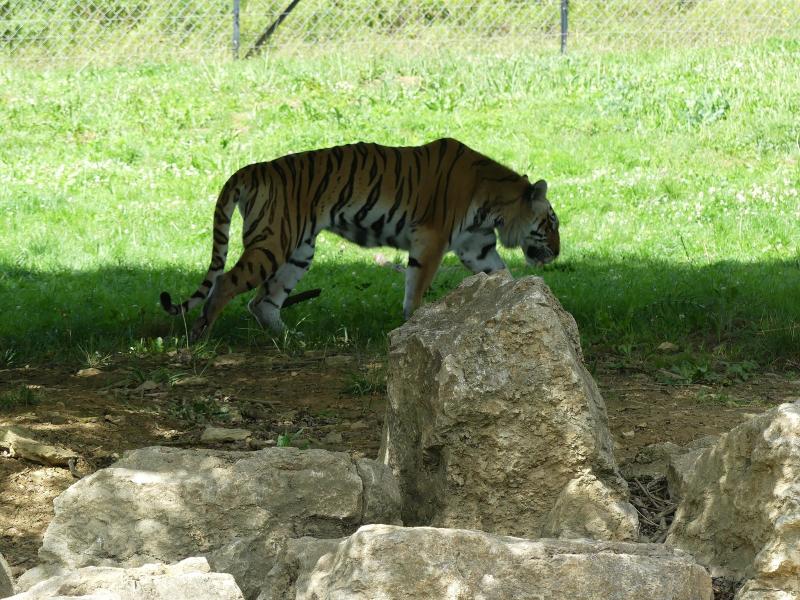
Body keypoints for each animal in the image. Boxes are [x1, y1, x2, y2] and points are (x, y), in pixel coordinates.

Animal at [160, 138, 560, 341]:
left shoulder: (476, 246)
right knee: (226, 283)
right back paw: (201, 335)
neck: (493, 204)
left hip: (299, 251)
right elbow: (416, 288)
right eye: (552, 223)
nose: (557, 253)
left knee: (262, 302)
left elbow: (501, 274)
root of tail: (250, 169)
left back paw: (292, 339)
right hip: (273, 243)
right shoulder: (430, 240)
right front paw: (413, 323)